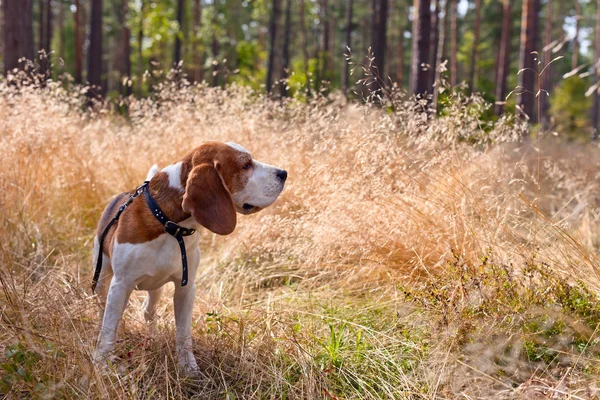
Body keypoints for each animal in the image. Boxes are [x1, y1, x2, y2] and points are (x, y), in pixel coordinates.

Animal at [92, 141, 288, 372]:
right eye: (246, 165)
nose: (284, 173)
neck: (170, 225)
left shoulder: (186, 288)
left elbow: (183, 333)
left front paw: (188, 367)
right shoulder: (120, 284)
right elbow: (108, 326)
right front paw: (102, 362)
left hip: (154, 288)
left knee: (148, 312)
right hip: (102, 279)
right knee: (104, 310)